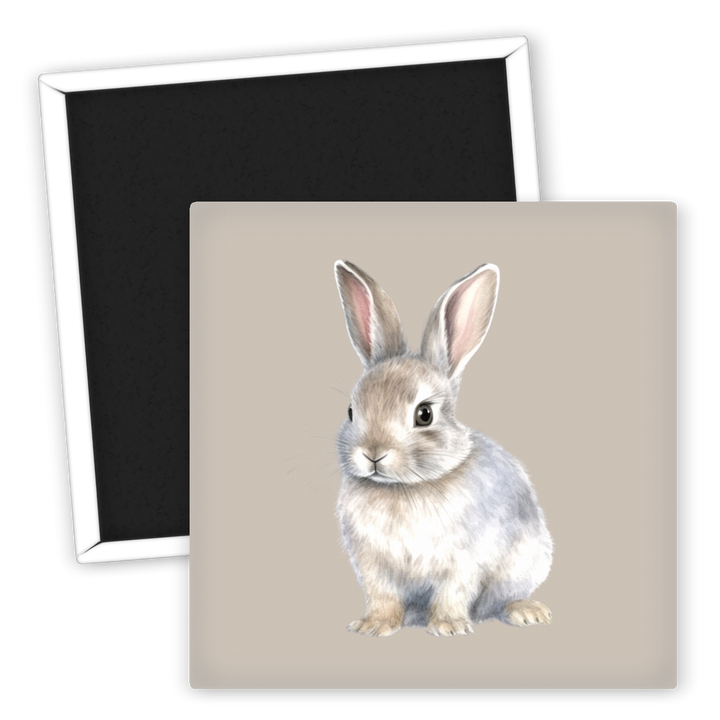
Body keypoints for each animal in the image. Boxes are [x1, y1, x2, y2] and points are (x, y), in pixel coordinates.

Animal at [333, 260, 553, 637]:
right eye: (351, 411)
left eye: (424, 414)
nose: (373, 453)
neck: (404, 488)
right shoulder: (372, 564)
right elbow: (382, 596)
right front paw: (374, 626)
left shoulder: (464, 559)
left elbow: (453, 591)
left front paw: (449, 626)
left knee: (505, 598)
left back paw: (527, 612)